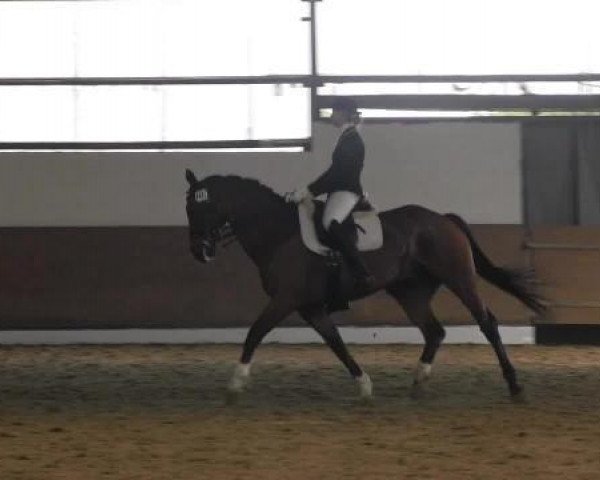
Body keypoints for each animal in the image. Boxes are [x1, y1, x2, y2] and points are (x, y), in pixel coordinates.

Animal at [185, 171, 548, 404]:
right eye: (188, 207)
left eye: (203, 206)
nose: (199, 252)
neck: (279, 234)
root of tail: (442, 219)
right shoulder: (310, 308)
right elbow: (336, 344)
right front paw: (364, 386)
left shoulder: (286, 300)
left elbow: (255, 332)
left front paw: (235, 383)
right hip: (409, 291)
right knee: (434, 331)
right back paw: (418, 382)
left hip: (459, 277)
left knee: (486, 322)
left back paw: (515, 385)